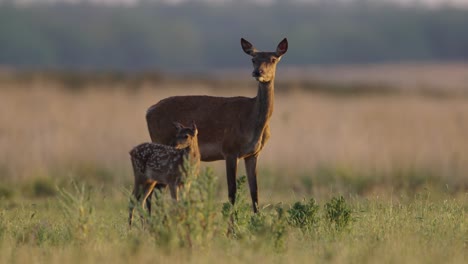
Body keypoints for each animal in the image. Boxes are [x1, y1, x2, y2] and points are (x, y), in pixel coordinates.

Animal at [146, 37, 288, 212]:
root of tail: (148, 112)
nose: (258, 72)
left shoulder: (253, 154)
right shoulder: (229, 150)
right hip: (162, 144)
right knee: (154, 191)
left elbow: (255, 193)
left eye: (273, 59)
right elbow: (232, 193)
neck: (253, 122)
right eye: (253, 59)